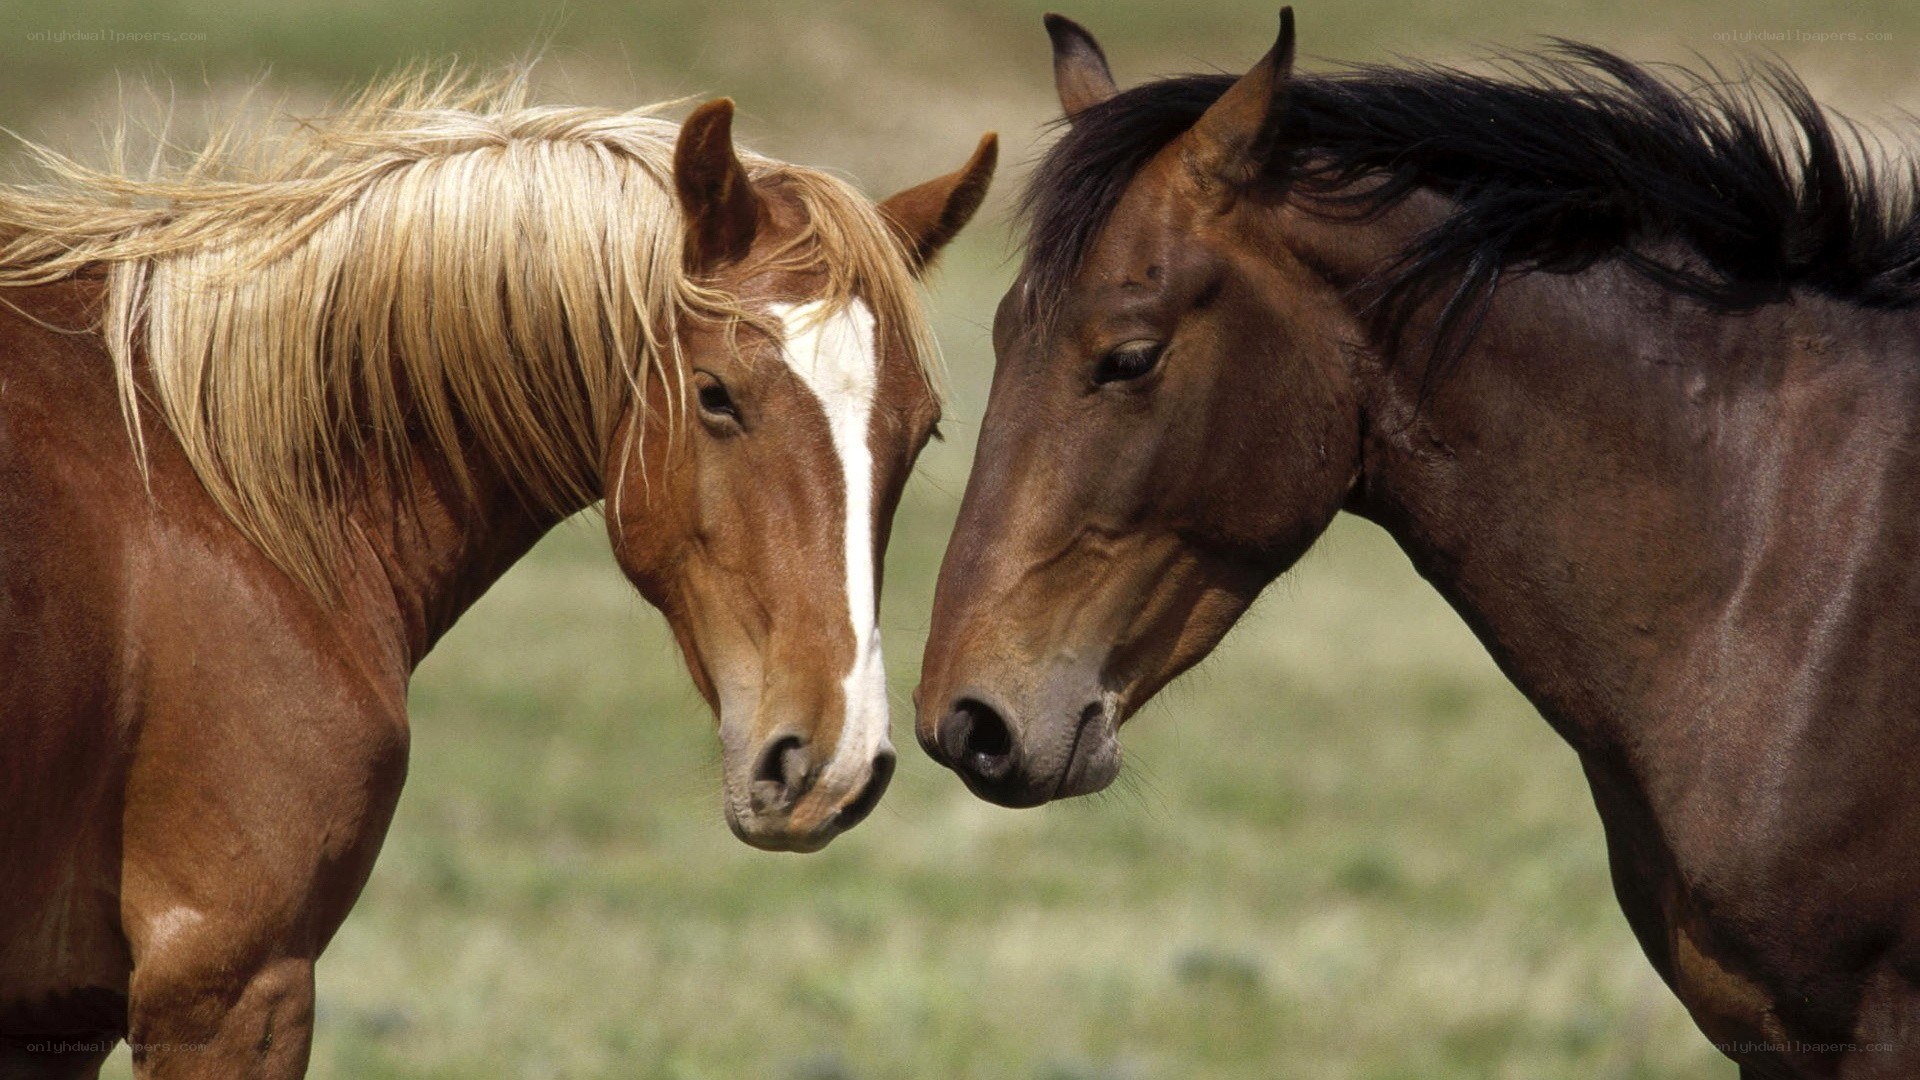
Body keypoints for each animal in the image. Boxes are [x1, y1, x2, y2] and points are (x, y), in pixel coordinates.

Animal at [0, 69, 995, 1078]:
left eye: (922, 430)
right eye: (716, 394)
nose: (832, 764)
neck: (210, 481)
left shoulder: (59, 1016)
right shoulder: (232, 976)